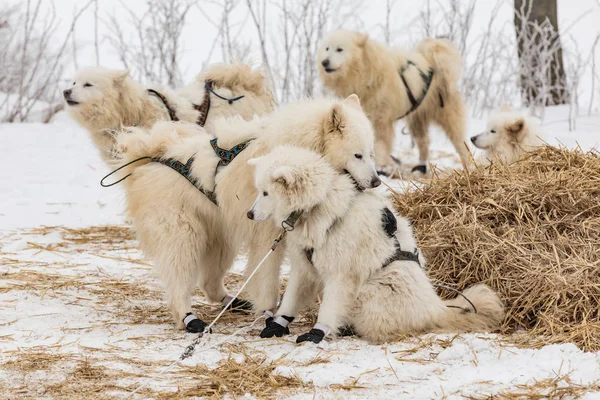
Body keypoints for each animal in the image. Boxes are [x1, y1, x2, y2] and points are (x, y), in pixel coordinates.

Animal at [115, 94, 382, 332]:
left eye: (371, 153)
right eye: (358, 155)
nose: (377, 181)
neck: (300, 148)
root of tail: (147, 162)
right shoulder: (267, 234)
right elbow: (267, 278)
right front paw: (269, 315)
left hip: (220, 238)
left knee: (209, 281)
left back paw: (232, 301)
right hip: (182, 234)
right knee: (179, 279)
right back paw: (190, 319)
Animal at [316, 30, 472, 174]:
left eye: (339, 49)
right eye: (327, 48)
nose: (324, 62)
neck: (365, 71)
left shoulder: (381, 118)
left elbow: (380, 144)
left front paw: (380, 167)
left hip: (446, 114)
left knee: (460, 143)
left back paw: (467, 167)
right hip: (417, 120)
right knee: (424, 141)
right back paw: (421, 167)